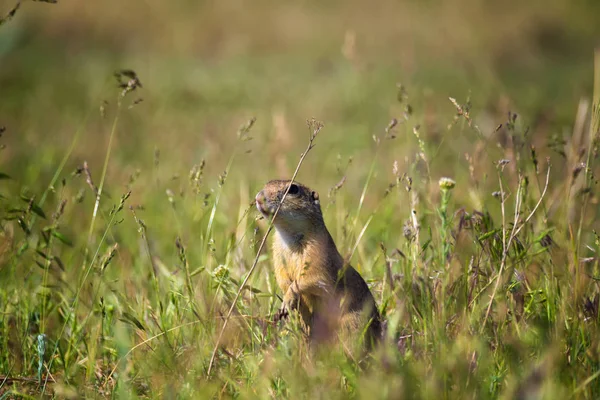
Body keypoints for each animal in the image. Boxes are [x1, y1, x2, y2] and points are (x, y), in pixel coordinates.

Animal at [255, 180, 382, 348]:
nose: (258, 198)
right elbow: (281, 275)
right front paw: (286, 300)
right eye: (267, 183)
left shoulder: (317, 253)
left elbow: (311, 277)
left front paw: (289, 298)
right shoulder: (277, 252)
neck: (289, 235)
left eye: (293, 189)